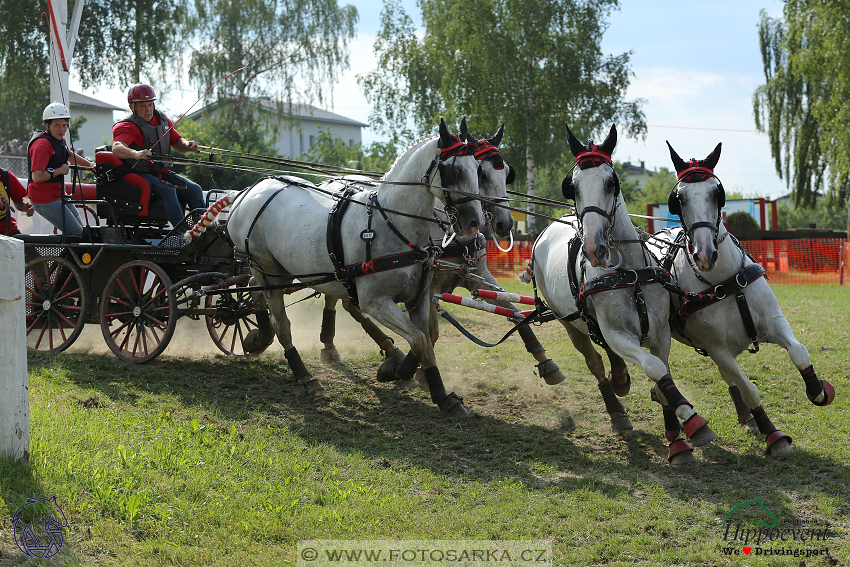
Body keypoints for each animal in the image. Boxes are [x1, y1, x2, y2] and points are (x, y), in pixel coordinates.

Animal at [224, 117, 484, 414]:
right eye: (454, 170)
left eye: (478, 169)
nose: (475, 223)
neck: (392, 225)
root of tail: (249, 191)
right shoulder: (375, 302)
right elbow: (418, 339)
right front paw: (396, 371)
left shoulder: (418, 299)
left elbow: (426, 342)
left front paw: (442, 395)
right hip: (266, 269)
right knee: (282, 324)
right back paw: (305, 377)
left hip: (278, 271)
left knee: (254, 291)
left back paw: (259, 338)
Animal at [528, 122, 712, 464]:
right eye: (572, 186)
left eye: (611, 183)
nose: (594, 248)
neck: (628, 272)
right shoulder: (617, 334)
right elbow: (654, 369)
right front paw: (691, 419)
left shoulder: (661, 332)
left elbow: (662, 374)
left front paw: (677, 435)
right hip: (568, 321)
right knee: (595, 362)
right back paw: (617, 410)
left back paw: (621, 378)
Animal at [656, 142, 836, 458]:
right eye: (679, 198)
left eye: (717, 192)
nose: (704, 254)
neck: (724, 281)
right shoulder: (717, 349)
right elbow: (750, 389)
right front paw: (773, 434)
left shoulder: (774, 322)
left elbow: (799, 352)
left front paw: (817, 390)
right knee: (664, 385)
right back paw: (679, 438)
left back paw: (746, 417)